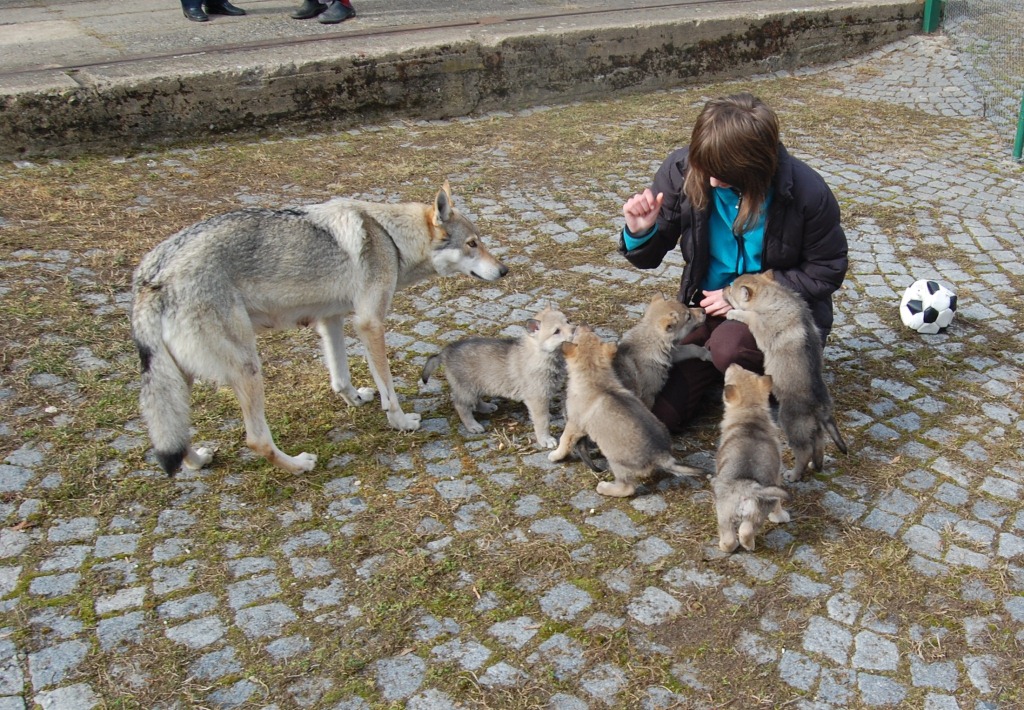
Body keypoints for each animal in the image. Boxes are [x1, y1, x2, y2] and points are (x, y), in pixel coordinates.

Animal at [132, 180, 507, 473]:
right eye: (472, 244)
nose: (504, 270)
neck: (389, 238)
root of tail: (152, 275)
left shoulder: (332, 320)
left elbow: (340, 377)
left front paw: (356, 400)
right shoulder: (370, 323)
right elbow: (388, 390)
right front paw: (401, 422)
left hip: (181, 378)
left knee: (174, 436)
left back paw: (197, 460)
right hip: (248, 368)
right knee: (256, 439)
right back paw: (299, 465)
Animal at [417, 305, 577, 448]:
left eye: (568, 321)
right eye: (556, 331)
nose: (575, 329)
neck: (542, 354)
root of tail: (445, 352)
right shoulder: (537, 398)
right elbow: (542, 421)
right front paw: (545, 439)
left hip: (479, 384)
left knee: (476, 400)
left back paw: (486, 407)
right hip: (466, 389)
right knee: (461, 406)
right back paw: (472, 425)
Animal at [552, 327, 704, 497]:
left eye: (577, 335)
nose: (583, 326)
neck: (596, 379)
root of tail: (661, 456)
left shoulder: (574, 425)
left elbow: (564, 441)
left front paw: (555, 455)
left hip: (616, 461)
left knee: (627, 488)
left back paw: (604, 487)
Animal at [712, 364, 790, 553]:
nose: (732, 364)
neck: (750, 412)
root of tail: (746, 488)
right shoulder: (777, 477)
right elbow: (778, 506)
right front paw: (780, 516)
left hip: (724, 513)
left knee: (731, 538)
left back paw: (728, 546)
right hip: (757, 510)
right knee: (746, 531)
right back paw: (749, 545)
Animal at [720, 270, 847, 481]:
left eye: (731, 288)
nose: (722, 289)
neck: (772, 294)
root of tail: (821, 407)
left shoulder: (758, 324)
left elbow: (748, 314)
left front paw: (732, 312)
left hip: (790, 423)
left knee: (803, 451)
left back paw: (794, 475)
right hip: (814, 429)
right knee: (818, 446)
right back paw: (815, 466)